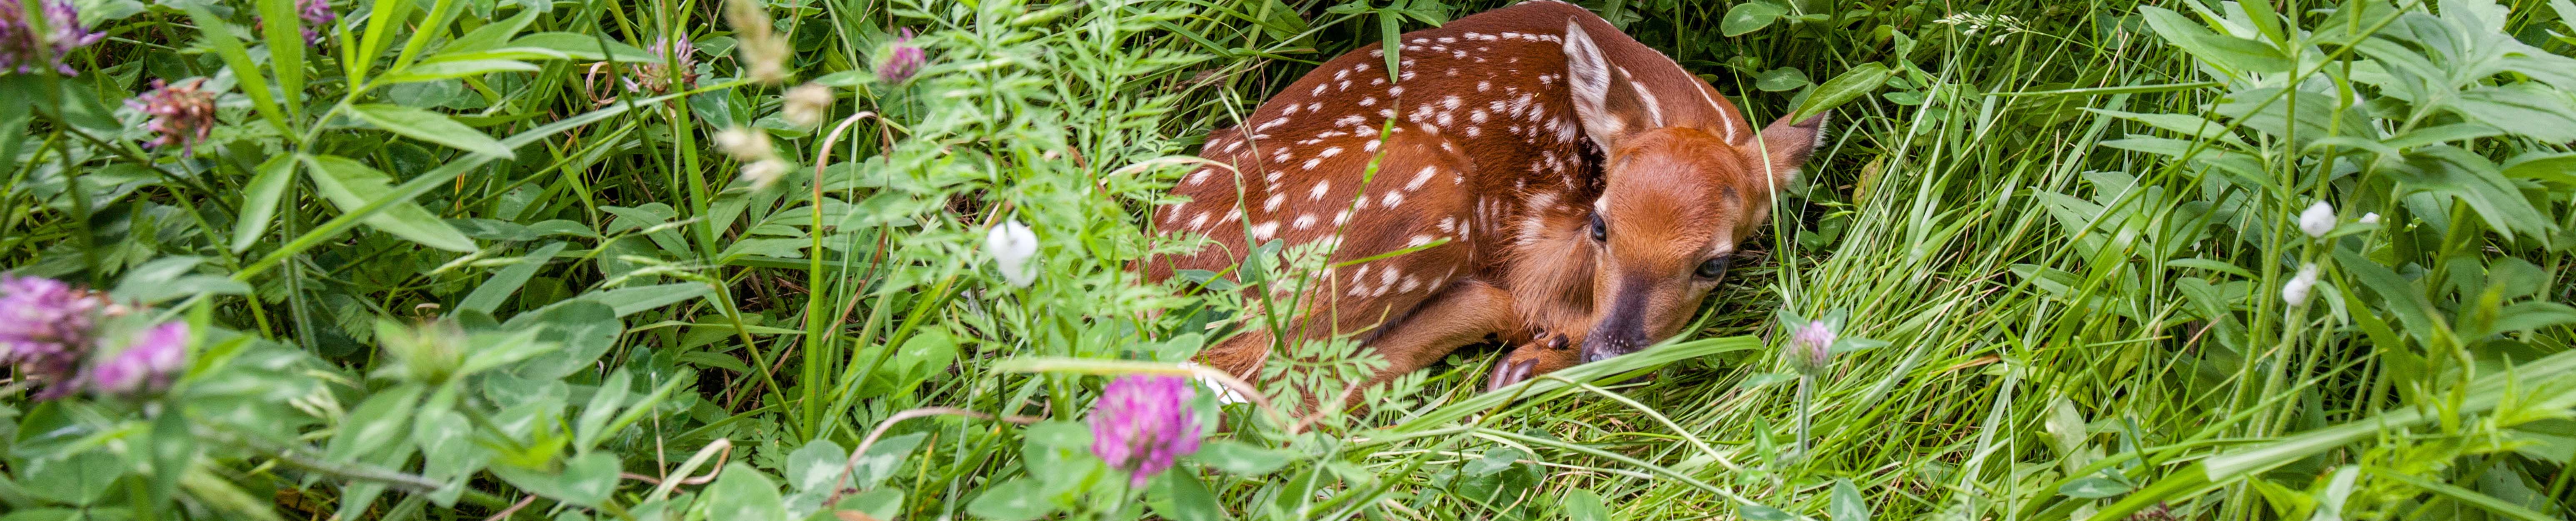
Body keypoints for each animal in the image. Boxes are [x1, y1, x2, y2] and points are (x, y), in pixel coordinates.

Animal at [1141, 0, 1827, 406]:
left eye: (1713, 264)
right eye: (1601, 226)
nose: (1607, 352)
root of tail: (1146, 272)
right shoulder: (1536, 245)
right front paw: (1538, 351)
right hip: (1422, 185)